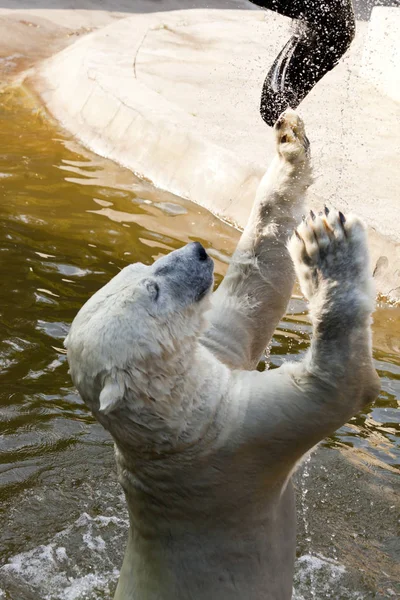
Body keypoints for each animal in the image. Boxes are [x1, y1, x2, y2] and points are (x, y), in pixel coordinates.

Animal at [65, 110, 378, 596]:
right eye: (153, 289)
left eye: (141, 266)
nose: (197, 251)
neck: (175, 428)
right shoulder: (237, 447)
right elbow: (337, 386)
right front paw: (327, 247)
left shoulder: (216, 354)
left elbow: (259, 278)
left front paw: (290, 143)